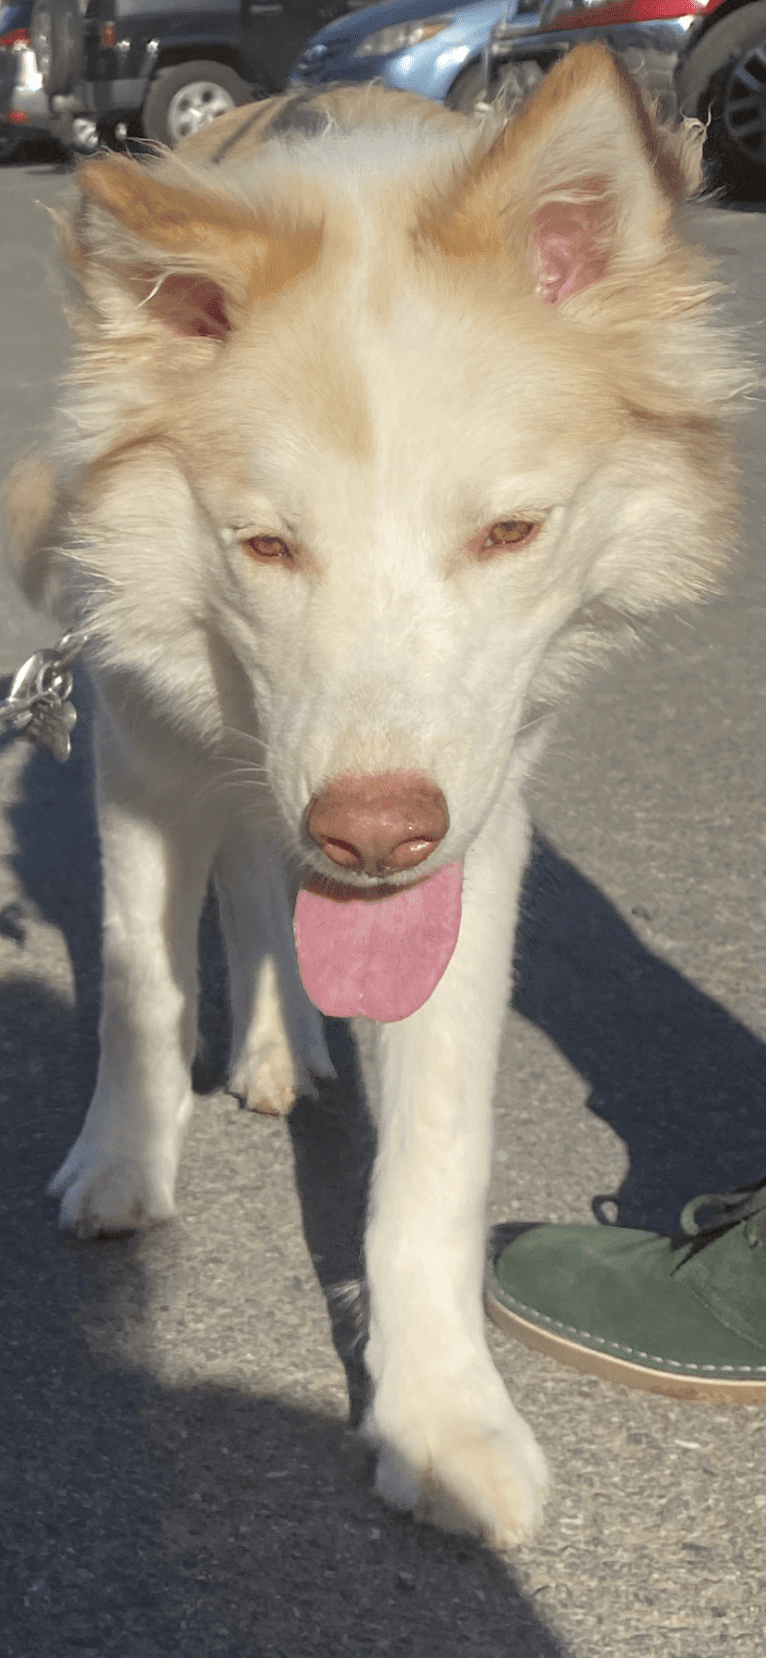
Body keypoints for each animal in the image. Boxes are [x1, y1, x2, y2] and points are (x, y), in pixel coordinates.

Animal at [4, 51, 742, 1545]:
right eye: (265, 544)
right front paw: (123, 1160)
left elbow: (435, 1157)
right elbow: (138, 985)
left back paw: (285, 1042)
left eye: (508, 532)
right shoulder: (140, 742)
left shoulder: (479, 823)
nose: (374, 831)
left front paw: (442, 1419)